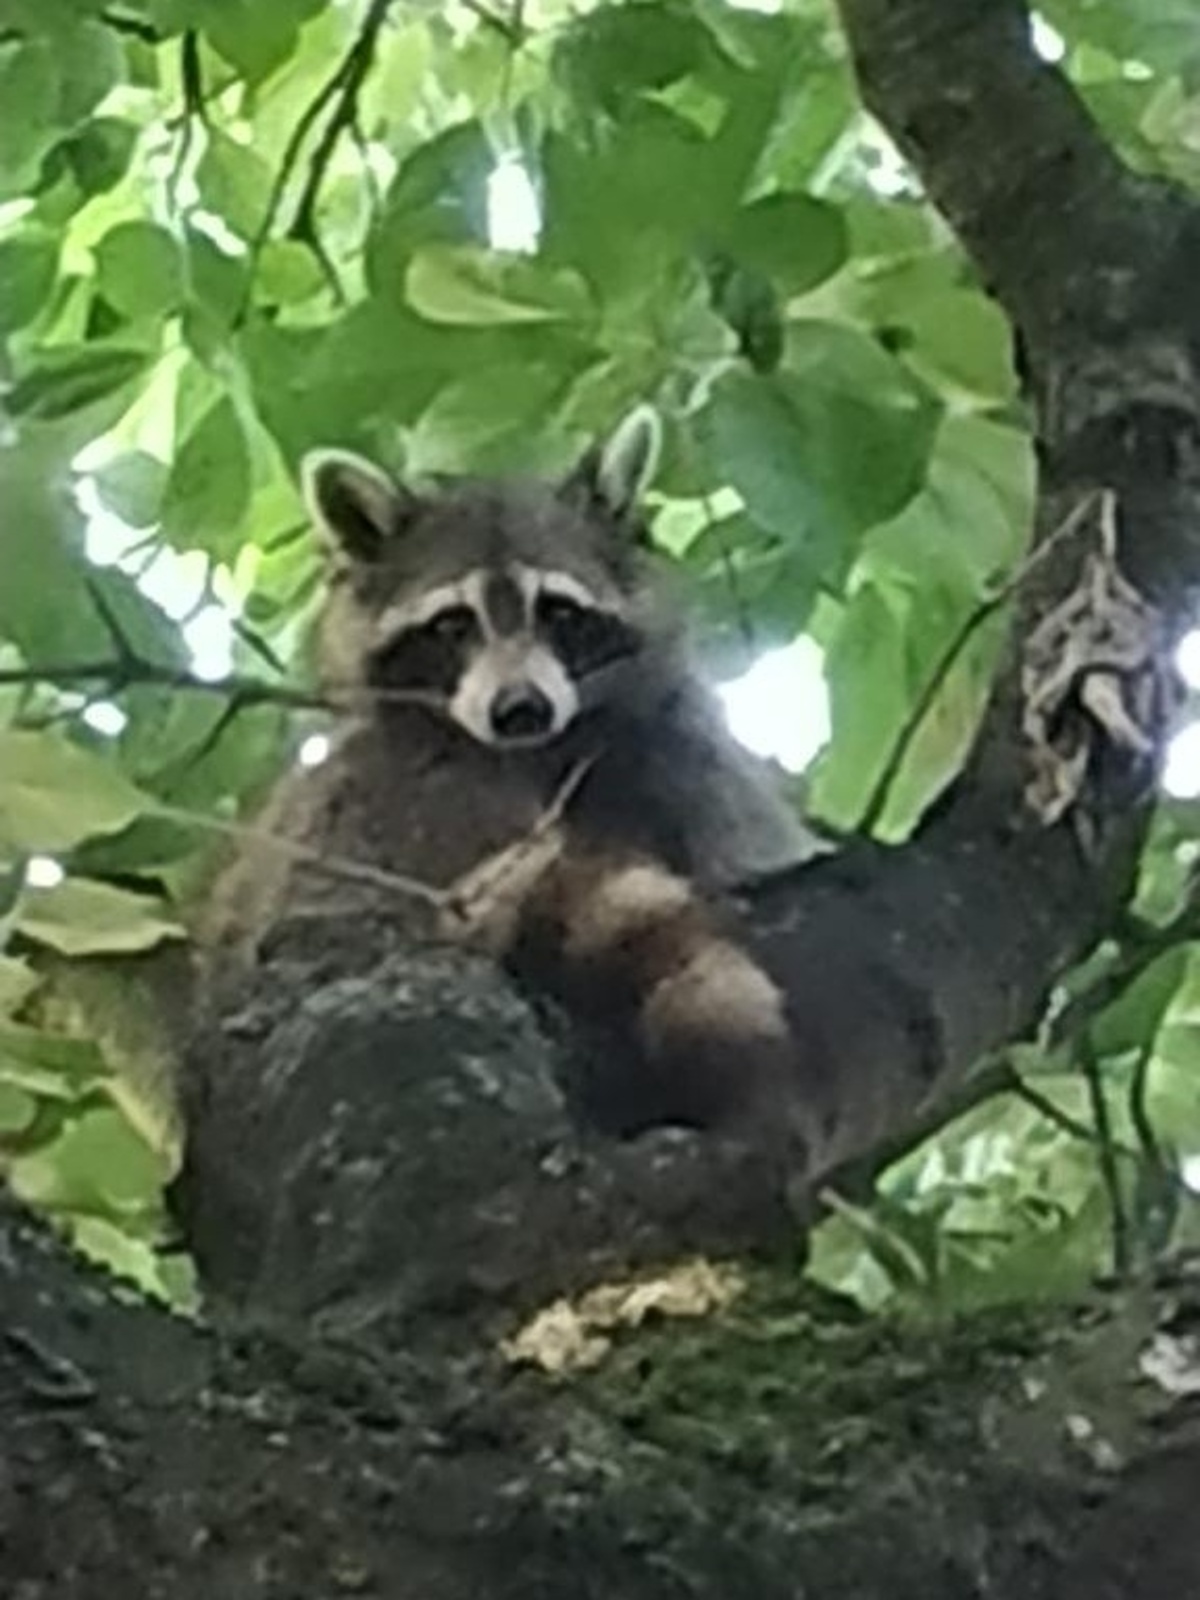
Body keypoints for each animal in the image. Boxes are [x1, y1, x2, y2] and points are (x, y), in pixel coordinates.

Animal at [197, 408, 827, 1161]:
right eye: (452, 624)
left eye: (558, 611)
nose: (520, 709)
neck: (541, 754)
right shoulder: (392, 783)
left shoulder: (685, 754)